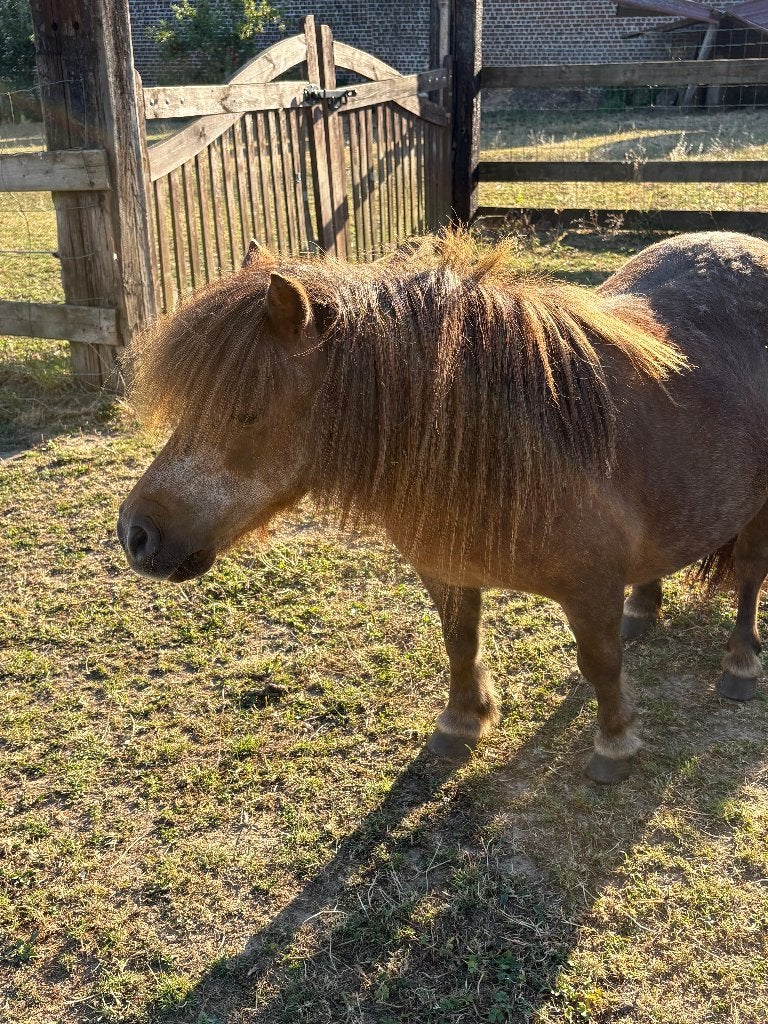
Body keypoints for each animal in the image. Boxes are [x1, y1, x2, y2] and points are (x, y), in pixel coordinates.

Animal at [117, 230, 768, 784]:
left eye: (246, 411)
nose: (136, 534)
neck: (512, 446)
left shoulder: (590, 589)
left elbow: (600, 663)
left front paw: (614, 746)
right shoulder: (446, 571)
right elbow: (460, 643)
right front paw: (460, 724)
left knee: (749, 577)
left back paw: (740, 666)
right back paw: (644, 611)